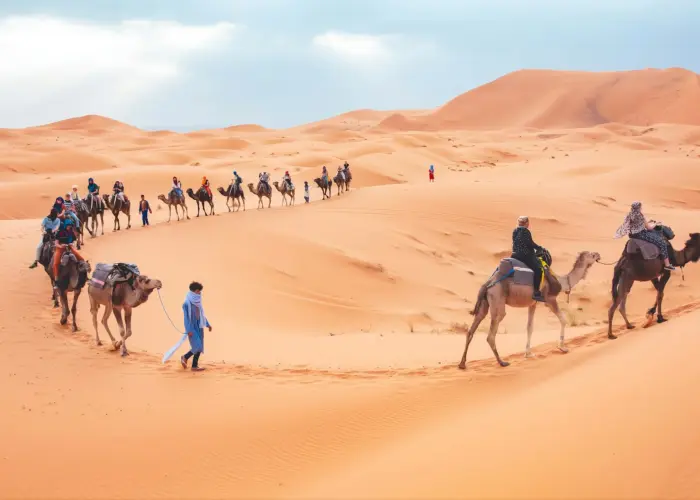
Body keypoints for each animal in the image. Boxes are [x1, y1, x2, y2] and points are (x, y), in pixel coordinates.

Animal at [458, 250, 600, 369]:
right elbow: (563, 319)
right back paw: (502, 362)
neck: (562, 280)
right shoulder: (550, 300)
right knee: (491, 334)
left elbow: (530, 327)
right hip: (497, 299)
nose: (598, 254)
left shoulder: (533, 303)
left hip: (485, 303)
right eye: (591, 254)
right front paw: (562, 348)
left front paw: (528, 353)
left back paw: (462, 364)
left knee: (472, 329)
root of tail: (488, 283)